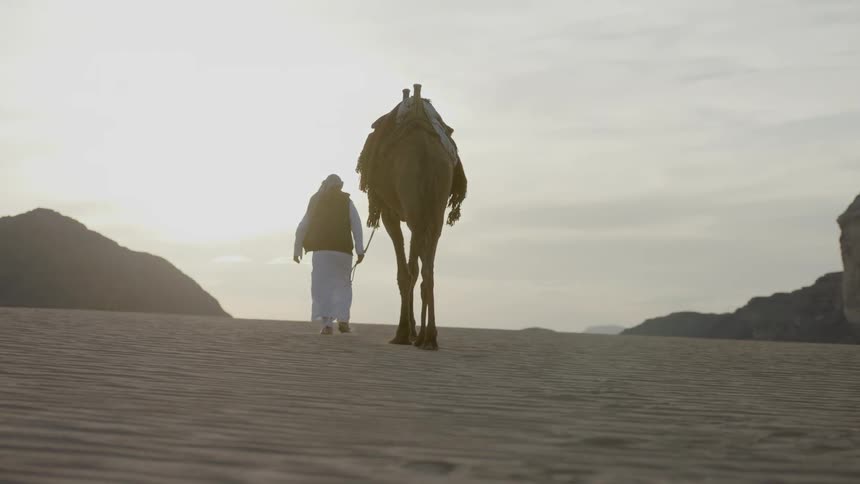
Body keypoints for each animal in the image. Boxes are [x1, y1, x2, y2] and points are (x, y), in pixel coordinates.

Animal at [355, 84, 467, 350]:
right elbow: (415, 267)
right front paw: (416, 330)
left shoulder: (390, 213)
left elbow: (404, 271)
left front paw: (406, 331)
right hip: (435, 207)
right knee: (428, 268)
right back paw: (430, 336)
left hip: (412, 201)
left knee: (413, 268)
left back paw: (411, 333)